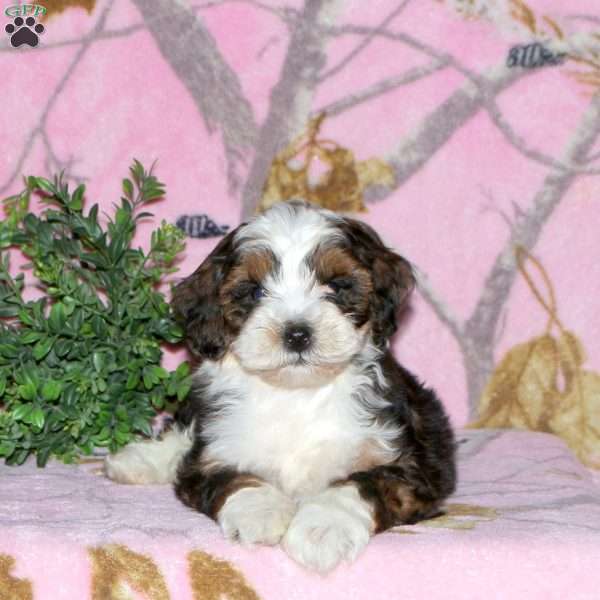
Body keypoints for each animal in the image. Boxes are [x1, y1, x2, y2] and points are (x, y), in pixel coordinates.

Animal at [105, 202, 458, 572]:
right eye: (255, 292)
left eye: (335, 286)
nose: (297, 333)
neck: (295, 393)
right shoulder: (212, 455)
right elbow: (232, 476)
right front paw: (261, 511)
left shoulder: (409, 466)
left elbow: (360, 485)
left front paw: (322, 530)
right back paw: (138, 460)